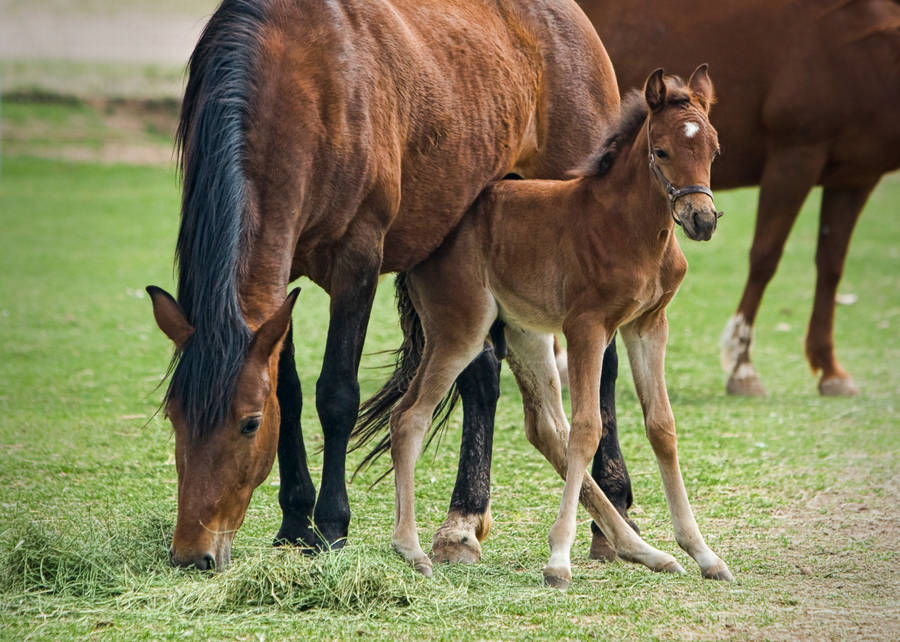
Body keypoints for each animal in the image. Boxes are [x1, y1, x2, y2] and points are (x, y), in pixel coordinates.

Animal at [144, 0, 623, 570]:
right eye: (174, 417)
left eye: (249, 424)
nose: (193, 554)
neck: (303, 83)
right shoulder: (281, 281)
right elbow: (291, 391)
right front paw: (294, 521)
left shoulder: (358, 261)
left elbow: (336, 394)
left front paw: (330, 526)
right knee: (481, 374)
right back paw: (463, 523)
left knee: (604, 366)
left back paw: (612, 512)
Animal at [376, 66, 732, 588]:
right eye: (662, 150)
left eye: (714, 150)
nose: (701, 219)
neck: (629, 227)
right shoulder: (587, 326)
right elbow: (588, 429)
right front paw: (558, 560)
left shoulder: (648, 324)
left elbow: (661, 427)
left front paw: (703, 553)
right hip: (460, 328)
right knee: (410, 417)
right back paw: (411, 548)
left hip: (525, 332)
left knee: (546, 428)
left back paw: (644, 551)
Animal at [577, 0, 900, 397]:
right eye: (662, 152)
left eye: (716, 152)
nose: (702, 219)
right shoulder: (795, 154)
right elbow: (765, 257)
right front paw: (742, 366)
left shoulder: (855, 177)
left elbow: (832, 266)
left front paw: (831, 371)